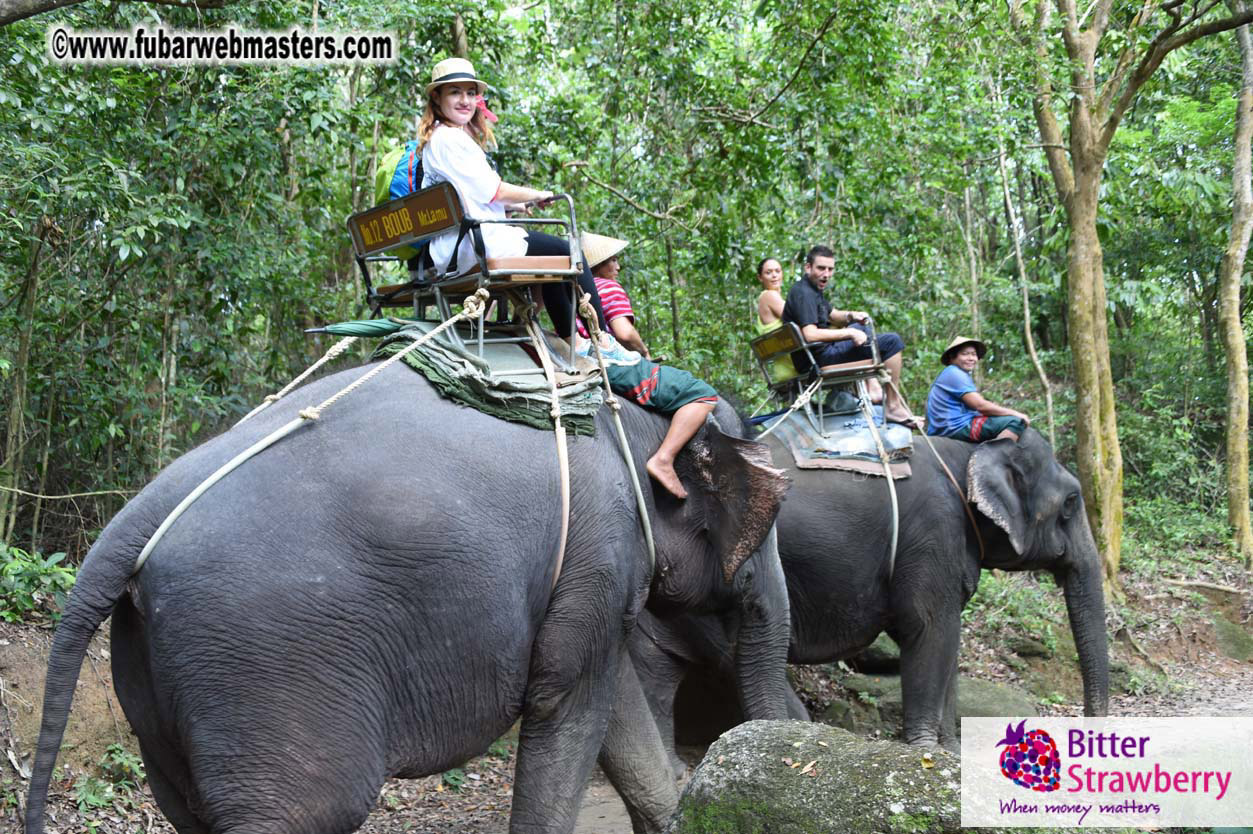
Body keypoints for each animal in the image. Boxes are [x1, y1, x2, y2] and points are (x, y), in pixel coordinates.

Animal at [24, 360, 793, 834]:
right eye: (769, 520)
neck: (623, 419)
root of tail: (137, 515)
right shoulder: (598, 554)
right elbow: (570, 704)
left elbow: (612, 701)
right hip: (264, 657)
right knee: (305, 811)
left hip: (155, 666)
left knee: (185, 806)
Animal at [631, 427, 1109, 759]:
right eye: (1071, 502)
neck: (969, 451)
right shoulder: (933, 533)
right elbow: (928, 631)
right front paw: (925, 753)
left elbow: (946, 642)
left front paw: (950, 754)